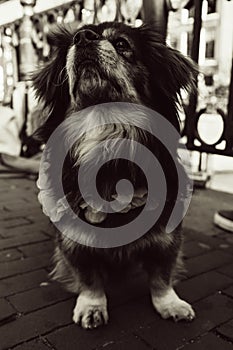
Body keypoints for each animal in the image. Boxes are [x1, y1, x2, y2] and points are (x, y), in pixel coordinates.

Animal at [32, 21, 197, 328]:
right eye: (73, 41)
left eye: (122, 44)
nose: (82, 37)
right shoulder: (74, 239)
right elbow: (88, 278)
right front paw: (92, 306)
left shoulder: (167, 234)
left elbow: (162, 275)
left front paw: (170, 303)